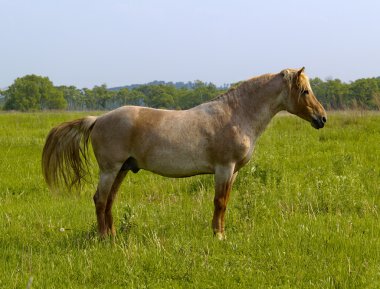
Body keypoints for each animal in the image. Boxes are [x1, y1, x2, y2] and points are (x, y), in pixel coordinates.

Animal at [42, 67, 326, 238]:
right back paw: (104, 238)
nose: (321, 118)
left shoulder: (233, 172)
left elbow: (225, 202)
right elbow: (219, 202)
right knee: (100, 200)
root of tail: (98, 119)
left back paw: (111, 235)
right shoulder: (224, 168)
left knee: (109, 201)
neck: (236, 114)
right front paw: (218, 235)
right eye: (305, 91)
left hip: (121, 170)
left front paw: (220, 232)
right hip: (110, 170)